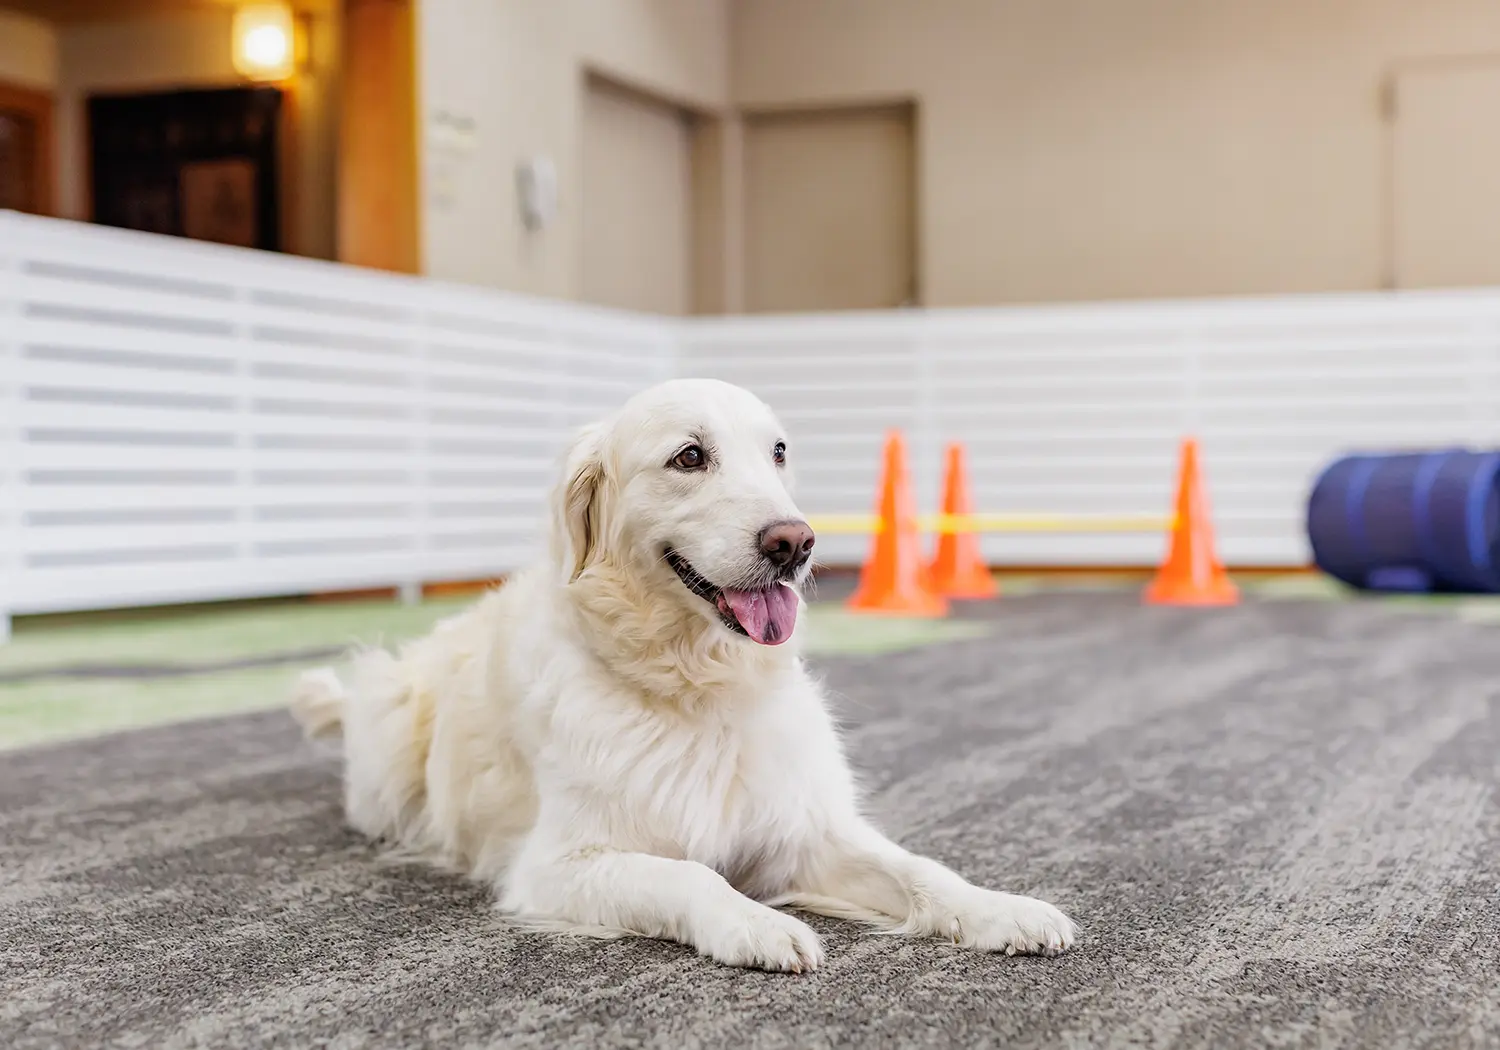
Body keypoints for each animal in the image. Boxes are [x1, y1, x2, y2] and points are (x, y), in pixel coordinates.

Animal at [289, 379, 1068, 978]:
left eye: (778, 452)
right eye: (689, 456)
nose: (795, 542)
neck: (699, 685)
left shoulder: (803, 833)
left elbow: (921, 870)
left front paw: (1003, 909)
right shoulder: (559, 864)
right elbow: (690, 872)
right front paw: (757, 925)